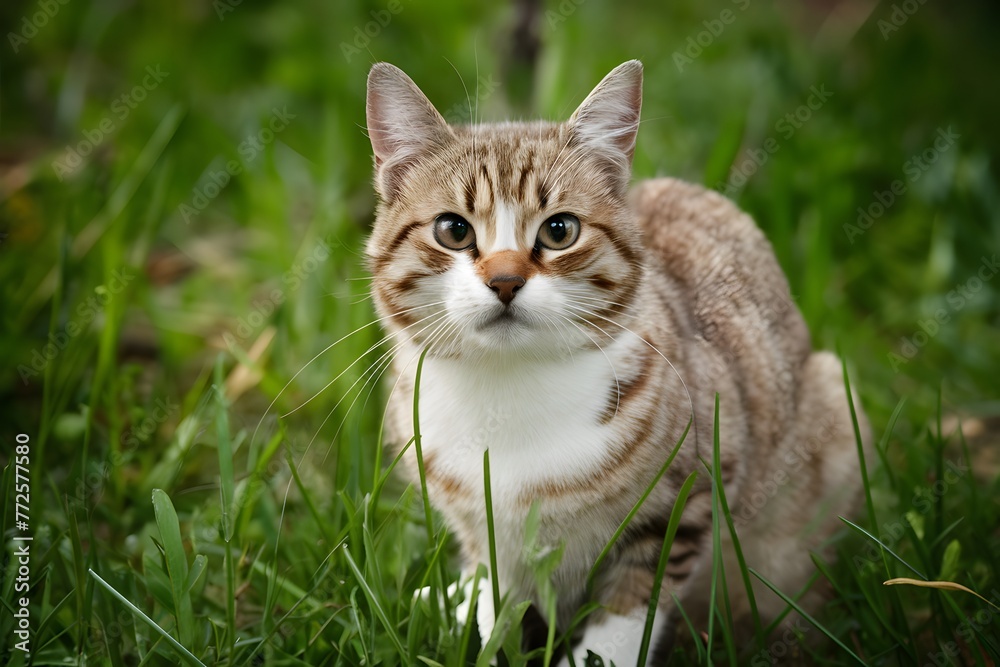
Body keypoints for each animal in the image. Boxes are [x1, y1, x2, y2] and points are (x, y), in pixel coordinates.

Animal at [364, 60, 872, 664]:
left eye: (560, 230)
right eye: (453, 229)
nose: (505, 281)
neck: (506, 390)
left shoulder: (687, 494)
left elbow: (632, 606)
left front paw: (596, 654)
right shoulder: (480, 522)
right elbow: (497, 589)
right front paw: (481, 622)